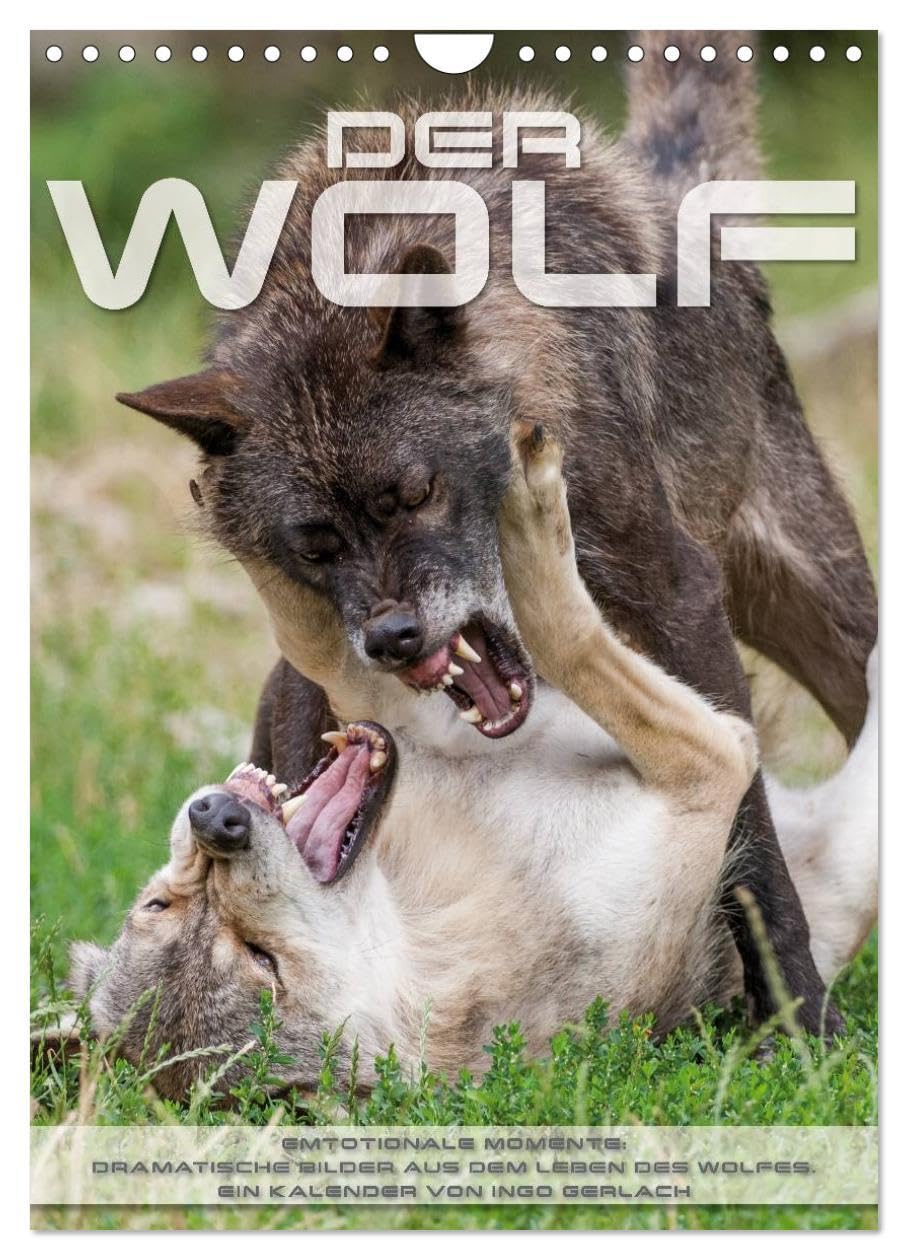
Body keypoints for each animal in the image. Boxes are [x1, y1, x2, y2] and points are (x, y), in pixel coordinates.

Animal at [69, 430, 878, 1099]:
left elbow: (320, 639)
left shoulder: (394, 702)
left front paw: (231, 498)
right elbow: (569, 633)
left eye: (159, 905)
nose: (217, 821)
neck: (426, 925)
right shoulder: (708, 764)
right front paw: (531, 517)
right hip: (843, 852)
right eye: (262, 961)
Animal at [117, 32, 877, 1036]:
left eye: (414, 494)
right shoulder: (312, 670)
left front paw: (802, 1024)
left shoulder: (678, 605)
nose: (393, 640)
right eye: (315, 545)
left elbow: (754, 852)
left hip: (836, 626)